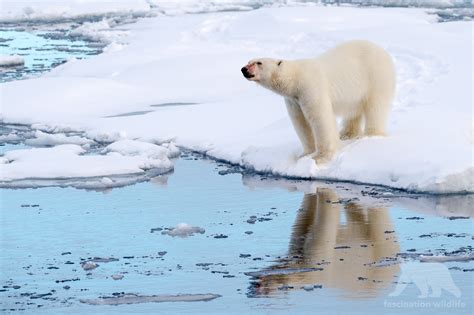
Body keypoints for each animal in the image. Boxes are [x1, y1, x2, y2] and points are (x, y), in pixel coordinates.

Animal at [243, 39, 394, 164]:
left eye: (259, 62)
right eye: (248, 61)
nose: (243, 69)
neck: (295, 79)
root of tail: (384, 52)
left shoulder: (310, 88)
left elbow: (320, 118)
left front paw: (320, 157)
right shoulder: (293, 100)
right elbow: (300, 122)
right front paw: (305, 154)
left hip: (375, 76)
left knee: (376, 106)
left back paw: (372, 134)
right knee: (353, 111)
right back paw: (346, 134)